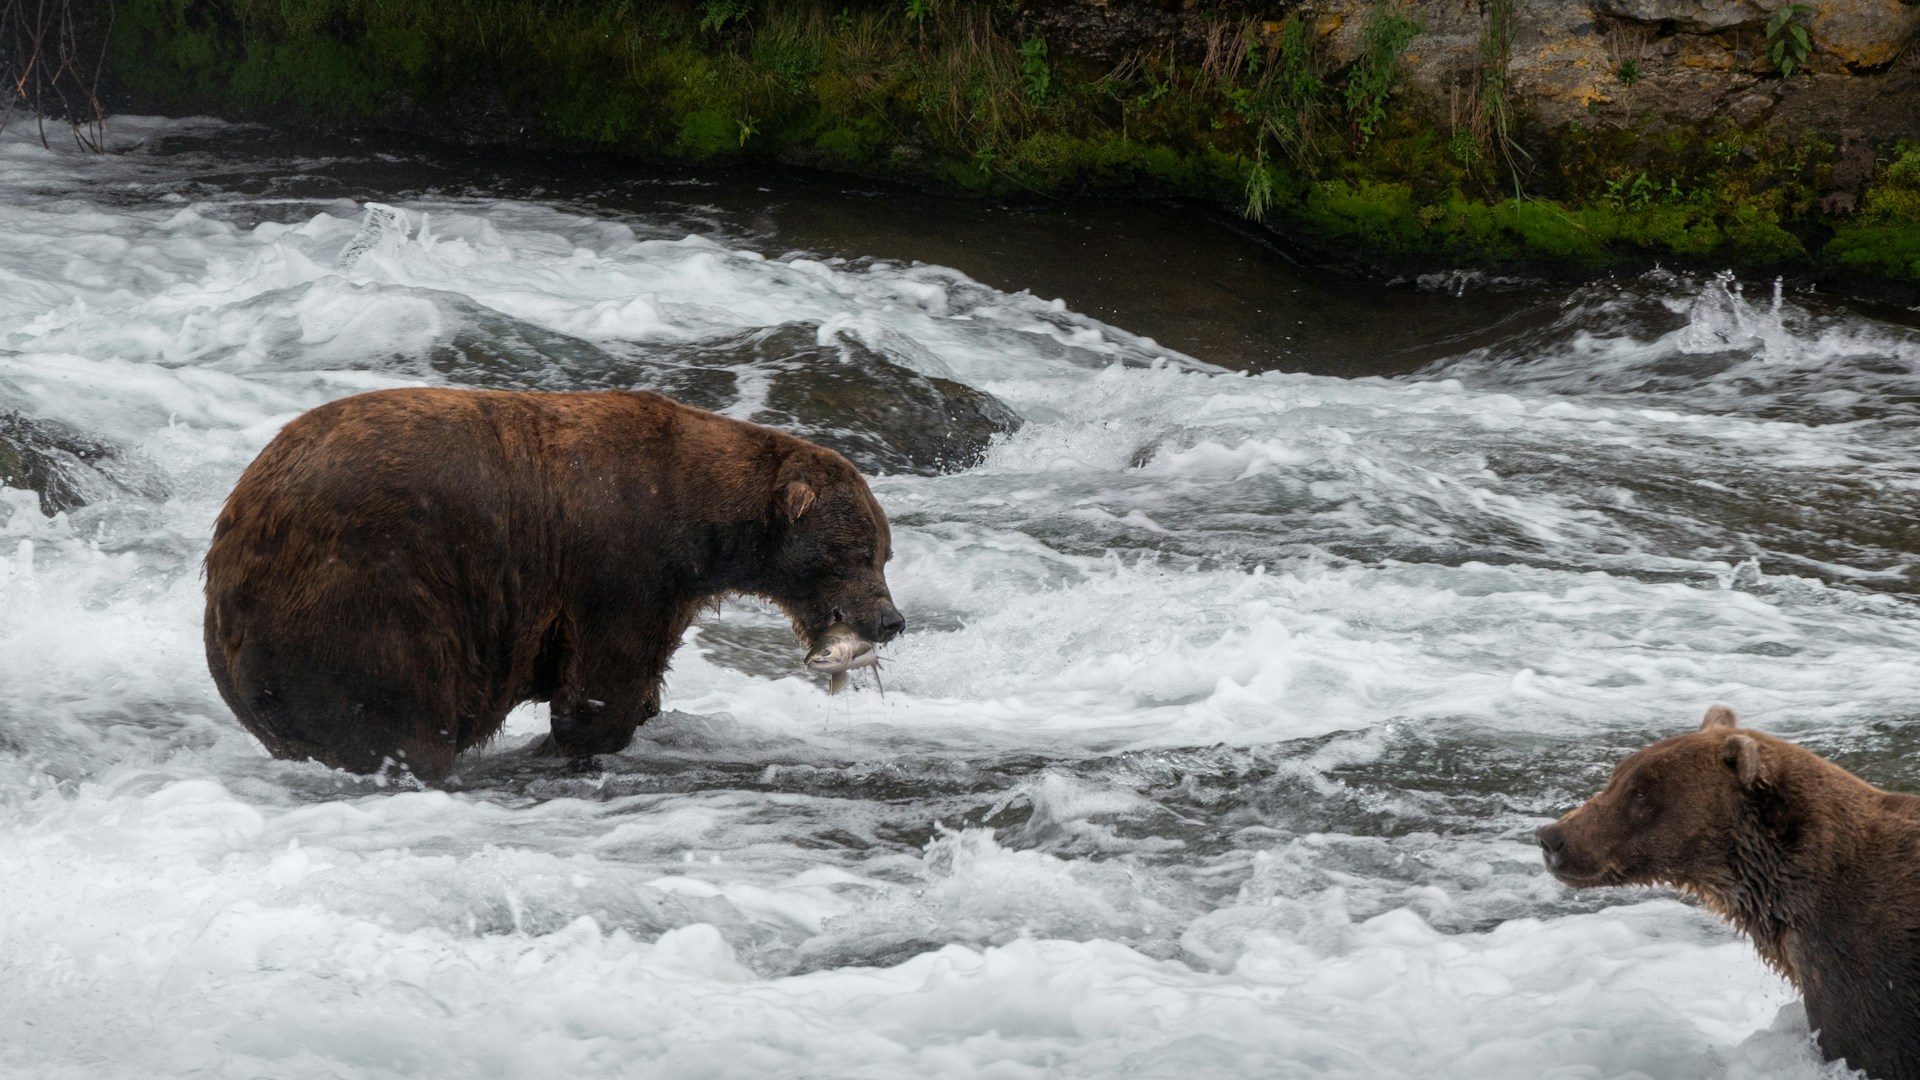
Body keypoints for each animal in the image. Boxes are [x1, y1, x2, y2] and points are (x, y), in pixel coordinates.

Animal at [202, 382, 906, 776]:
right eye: (857, 552)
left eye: (884, 552)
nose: (890, 620)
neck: (699, 521)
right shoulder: (616, 560)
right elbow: (603, 681)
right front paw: (570, 742)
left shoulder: (666, 589)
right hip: (362, 596)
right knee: (396, 711)